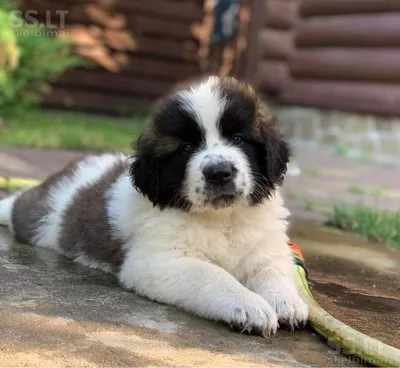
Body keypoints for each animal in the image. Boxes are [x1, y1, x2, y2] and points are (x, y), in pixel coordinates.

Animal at [0, 77, 308, 336]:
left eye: (238, 139)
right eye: (186, 148)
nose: (219, 172)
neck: (223, 218)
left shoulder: (268, 247)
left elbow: (272, 271)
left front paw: (285, 301)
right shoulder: (158, 262)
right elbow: (212, 275)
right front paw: (248, 305)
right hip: (38, 215)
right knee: (17, 205)